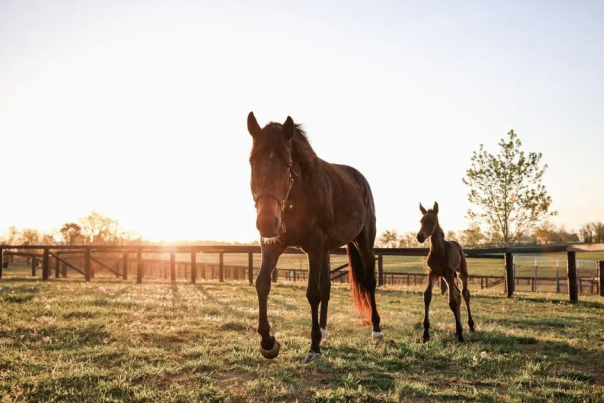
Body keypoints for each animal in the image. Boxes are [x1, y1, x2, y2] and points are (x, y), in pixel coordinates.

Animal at [247, 112, 382, 364]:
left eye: (288, 165)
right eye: (252, 162)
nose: (267, 223)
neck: (298, 194)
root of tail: (359, 179)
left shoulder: (315, 244)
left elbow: (313, 293)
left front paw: (314, 348)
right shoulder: (273, 245)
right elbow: (262, 284)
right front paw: (268, 342)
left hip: (363, 244)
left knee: (369, 283)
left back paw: (377, 331)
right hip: (327, 251)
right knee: (327, 287)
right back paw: (323, 330)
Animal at [418, 204, 474, 342]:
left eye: (432, 221)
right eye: (421, 221)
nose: (420, 237)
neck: (439, 252)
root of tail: (456, 243)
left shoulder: (448, 273)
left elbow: (452, 302)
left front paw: (461, 335)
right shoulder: (433, 273)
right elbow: (427, 295)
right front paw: (425, 333)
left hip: (460, 273)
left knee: (464, 294)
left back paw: (470, 326)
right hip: (445, 277)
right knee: (458, 294)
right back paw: (458, 328)